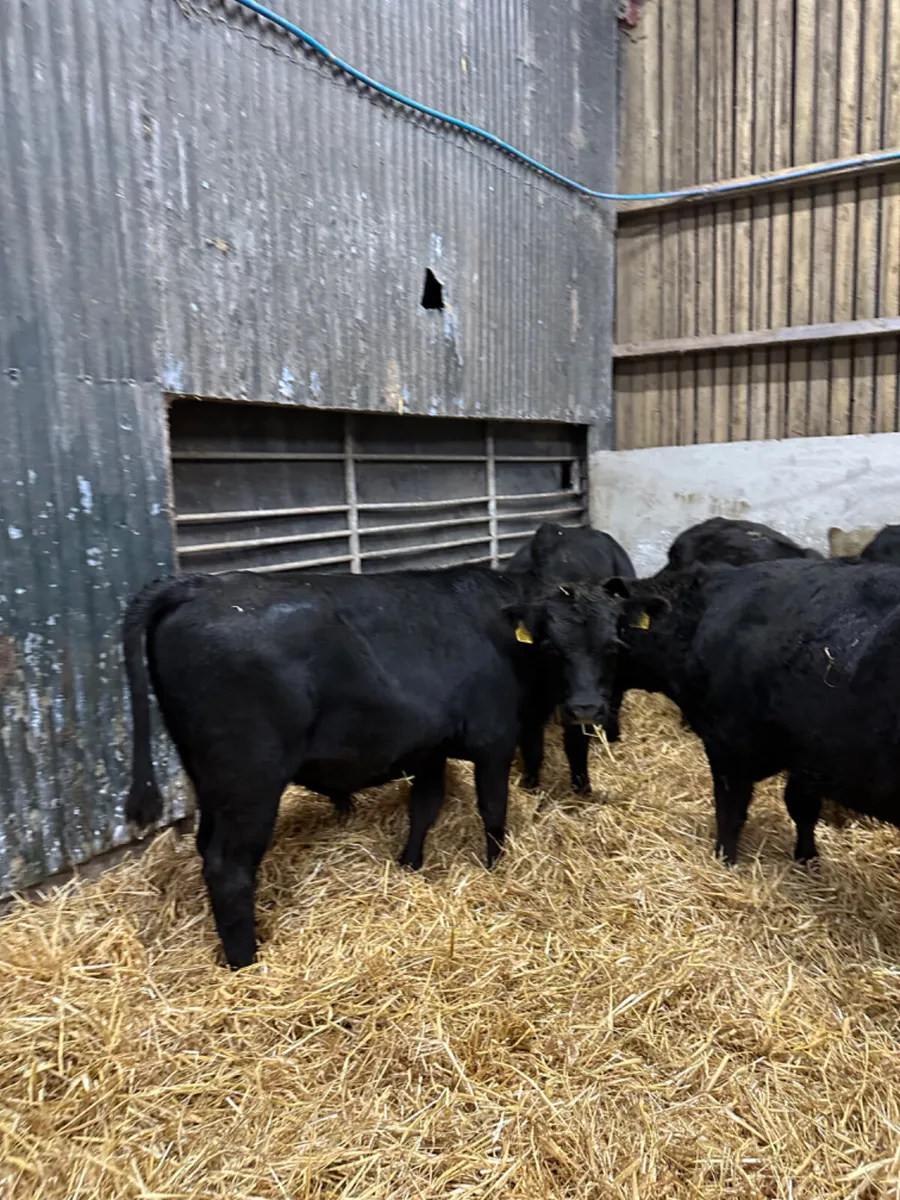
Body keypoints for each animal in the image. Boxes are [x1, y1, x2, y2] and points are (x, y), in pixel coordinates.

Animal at [123, 565, 614, 968]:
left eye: (611, 644)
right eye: (551, 646)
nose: (586, 708)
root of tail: (197, 584)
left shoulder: (430, 750)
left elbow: (424, 809)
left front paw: (410, 866)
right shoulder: (493, 743)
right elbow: (493, 812)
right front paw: (496, 870)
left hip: (211, 784)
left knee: (206, 846)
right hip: (249, 783)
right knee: (229, 868)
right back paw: (246, 962)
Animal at [504, 522, 635, 792]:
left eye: (610, 647)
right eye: (551, 648)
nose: (586, 708)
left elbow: (576, 745)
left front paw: (582, 788)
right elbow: (531, 746)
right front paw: (531, 786)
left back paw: (612, 735)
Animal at [532, 559, 900, 867]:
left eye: (613, 645)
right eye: (552, 648)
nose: (584, 708)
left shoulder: (729, 745)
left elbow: (730, 811)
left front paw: (725, 861)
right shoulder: (807, 752)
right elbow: (801, 807)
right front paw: (808, 861)